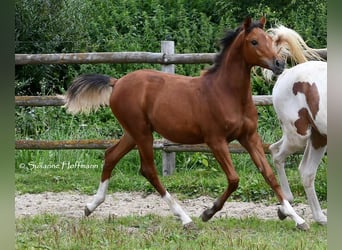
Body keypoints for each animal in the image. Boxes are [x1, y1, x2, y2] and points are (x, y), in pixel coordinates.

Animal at [62, 16, 308, 229]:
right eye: (253, 41)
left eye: (271, 40)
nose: (279, 63)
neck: (226, 93)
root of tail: (117, 82)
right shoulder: (215, 140)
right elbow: (234, 179)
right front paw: (208, 212)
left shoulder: (249, 137)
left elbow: (269, 176)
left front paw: (297, 219)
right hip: (142, 133)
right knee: (148, 170)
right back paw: (185, 218)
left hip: (132, 132)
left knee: (110, 156)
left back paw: (90, 206)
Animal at [266, 24, 328, 225]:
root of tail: (285, 74)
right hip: (298, 136)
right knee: (277, 154)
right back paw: (287, 206)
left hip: (317, 136)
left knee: (305, 171)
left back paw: (319, 218)